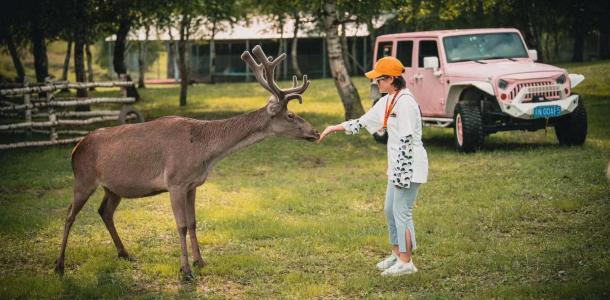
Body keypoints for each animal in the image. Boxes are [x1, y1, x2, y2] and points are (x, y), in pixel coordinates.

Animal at [55, 45, 320, 280]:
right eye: (290, 115)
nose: (316, 132)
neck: (204, 152)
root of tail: (75, 148)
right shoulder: (175, 182)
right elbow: (181, 225)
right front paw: (185, 271)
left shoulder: (193, 185)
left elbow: (193, 222)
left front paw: (200, 261)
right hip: (84, 179)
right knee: (69, 214)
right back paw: (59, 266)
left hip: (113, 187)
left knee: (105, 211)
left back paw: (124, 253)